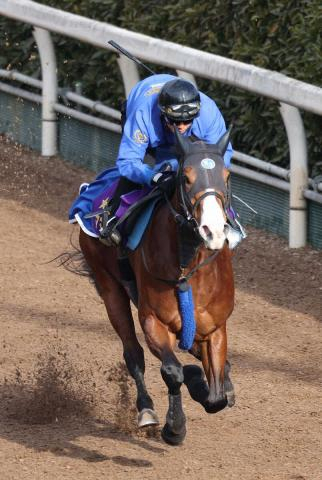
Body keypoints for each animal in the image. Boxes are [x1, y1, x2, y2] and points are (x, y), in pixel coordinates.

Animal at [77, 127, 235, 446]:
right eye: (185, 177)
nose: (212, 230)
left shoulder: (215, 328)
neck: (189, 266)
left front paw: (207, 381)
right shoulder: (154, 320)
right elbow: (173, 371)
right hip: (110, 287)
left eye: (226, 176)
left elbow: (216, 398)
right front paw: (174, 427)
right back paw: (147, 410)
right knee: (133, 353)